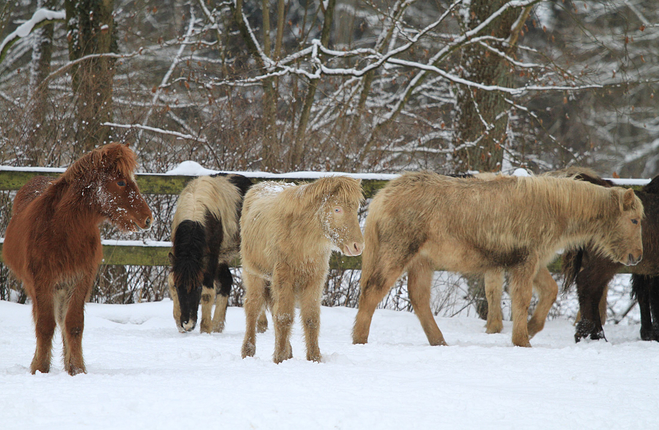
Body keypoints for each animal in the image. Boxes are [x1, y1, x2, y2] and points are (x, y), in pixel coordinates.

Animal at [3, 143, 154, 374]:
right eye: (121, 182)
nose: (148, 218)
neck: (61, 230)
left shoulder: (80, 280)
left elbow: (73, 324)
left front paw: (76, 369)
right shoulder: (42, 282)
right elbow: (45, 325)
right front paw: (41, 368)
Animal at [242, 177, 366, 362]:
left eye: (356, 208)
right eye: (337, 209)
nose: (357, 246)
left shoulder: (314, 279)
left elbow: (310, 318)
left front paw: (314, 357)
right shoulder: (284, 276)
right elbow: (284, 317)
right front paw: (279, 358)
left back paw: (287, 351)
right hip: (254, 274)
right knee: (253, 307)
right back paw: (248, 351)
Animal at [356, 170, 644, 348]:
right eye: (634, 220)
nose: (637, 256)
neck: (556, 208)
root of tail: (382, 196)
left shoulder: (529, 260)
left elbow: (548, 292)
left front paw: (531, 328)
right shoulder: (525, 260)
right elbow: (522, 299)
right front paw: (522, 340)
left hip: (421, 261)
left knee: (418, 299)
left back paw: (439, 341)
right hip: (398, 252)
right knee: (372, 291)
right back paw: (359, 339)